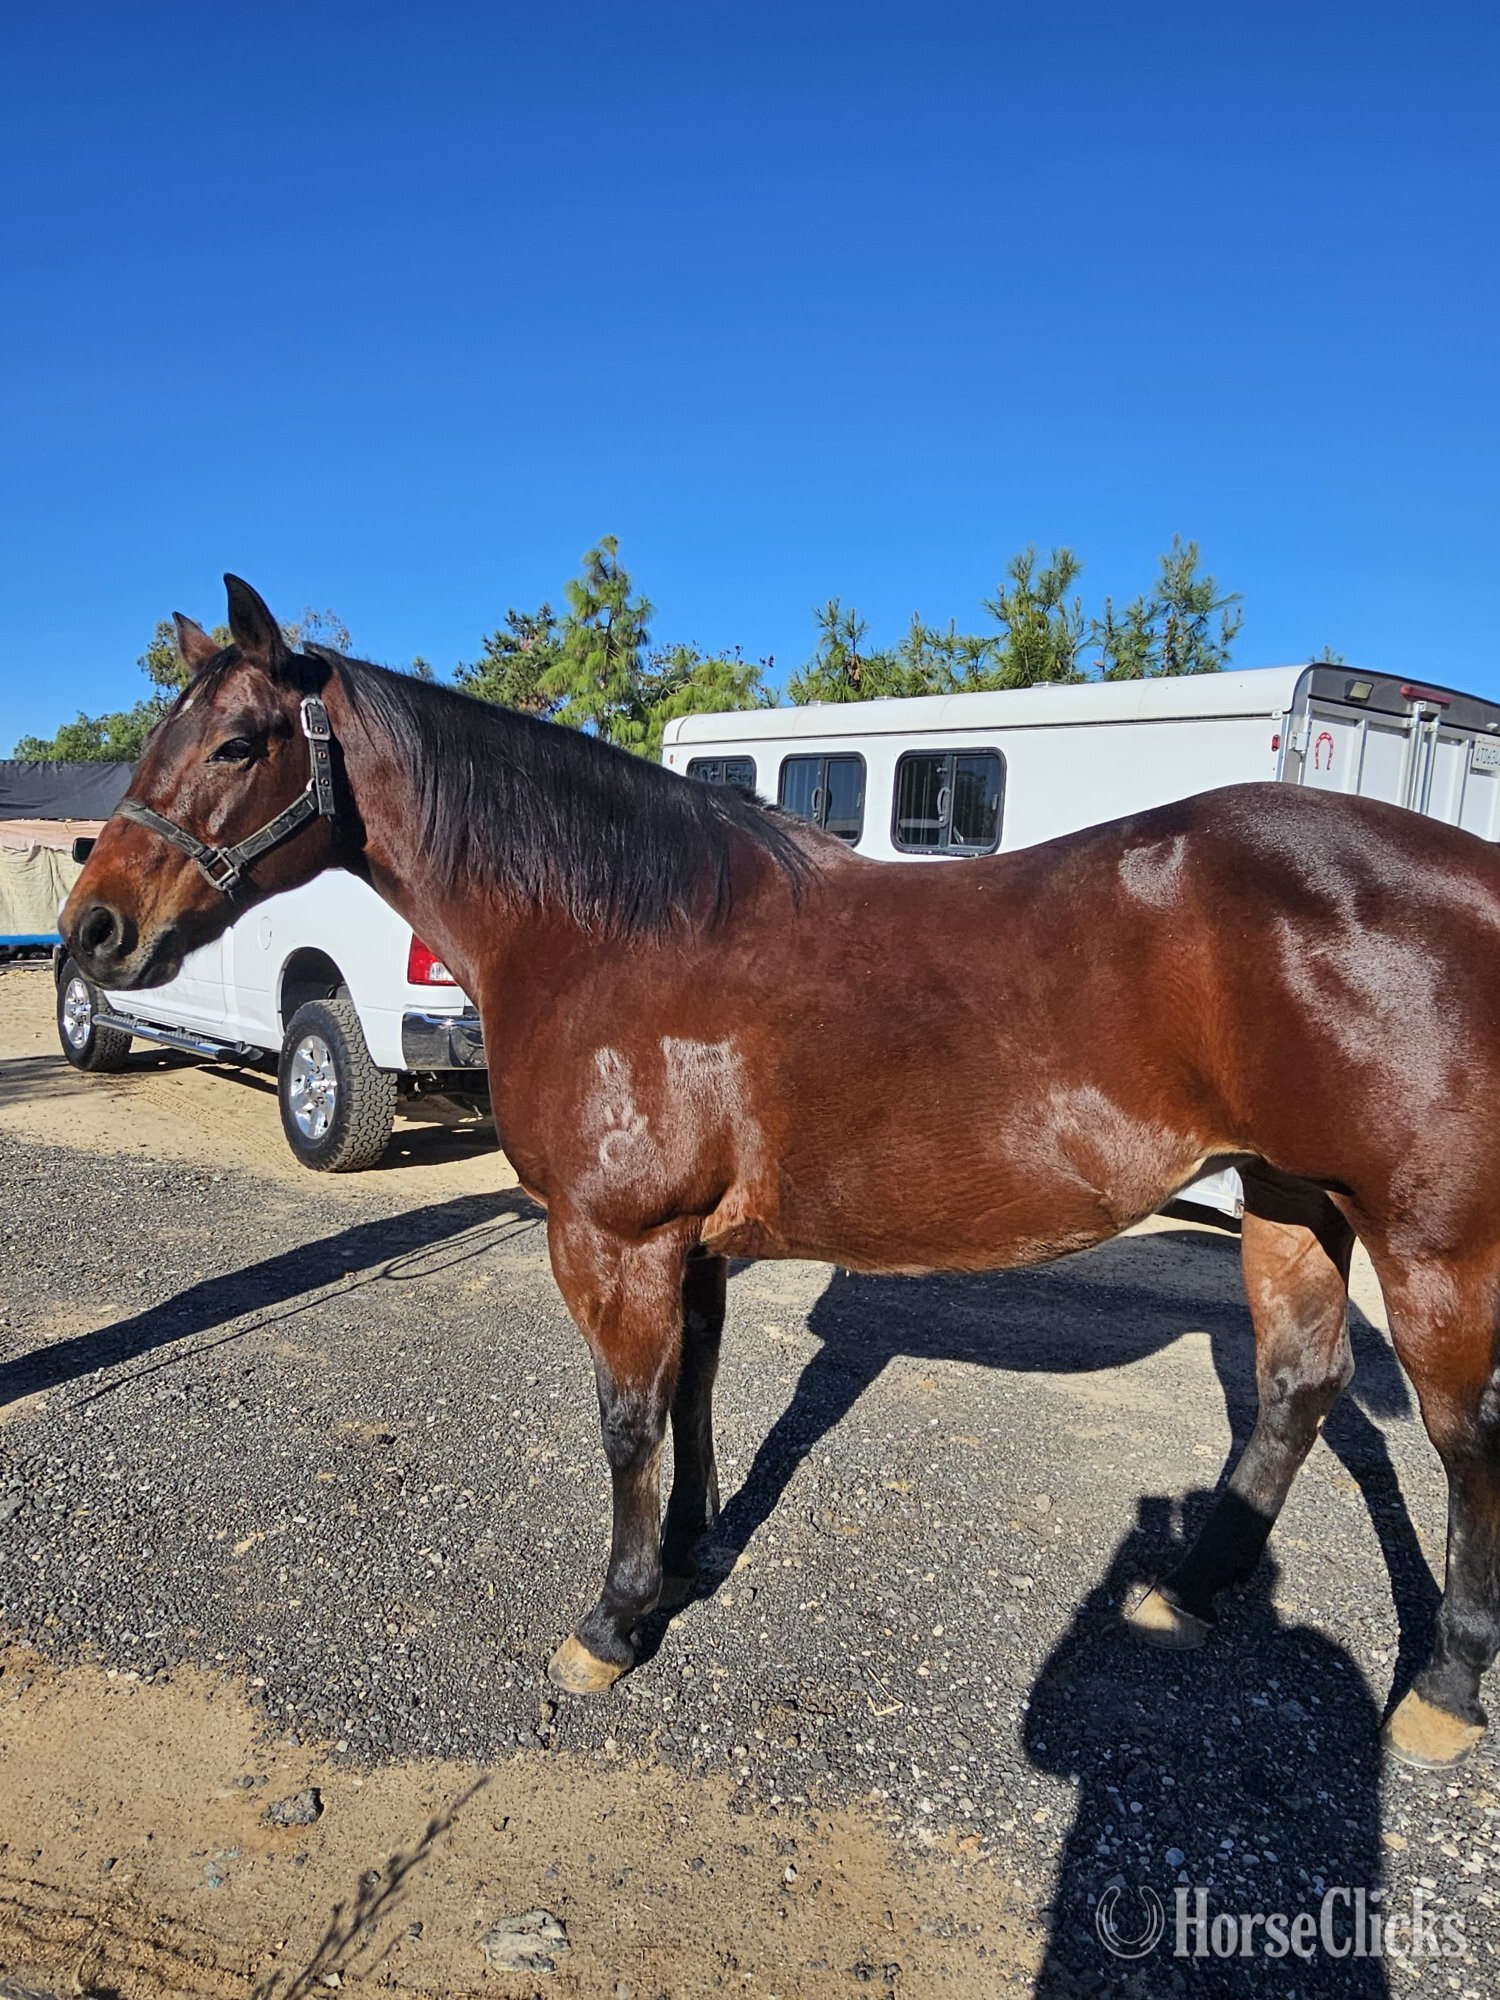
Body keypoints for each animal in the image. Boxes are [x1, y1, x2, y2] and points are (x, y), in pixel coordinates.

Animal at [61, 575, 1500, 1772]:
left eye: (238, 742)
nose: (94, 931)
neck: (618, 935)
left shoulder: (615, 1236)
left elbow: (628, 1420)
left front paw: (613, 1621)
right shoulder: (686, 1245)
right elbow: (692, 1394)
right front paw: (690, 1555)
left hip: (1428, 1242)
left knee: (1460, 1439)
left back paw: (1443, 1694)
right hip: (1290, 1197)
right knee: (1300, 1387)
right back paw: (1190, 1589)